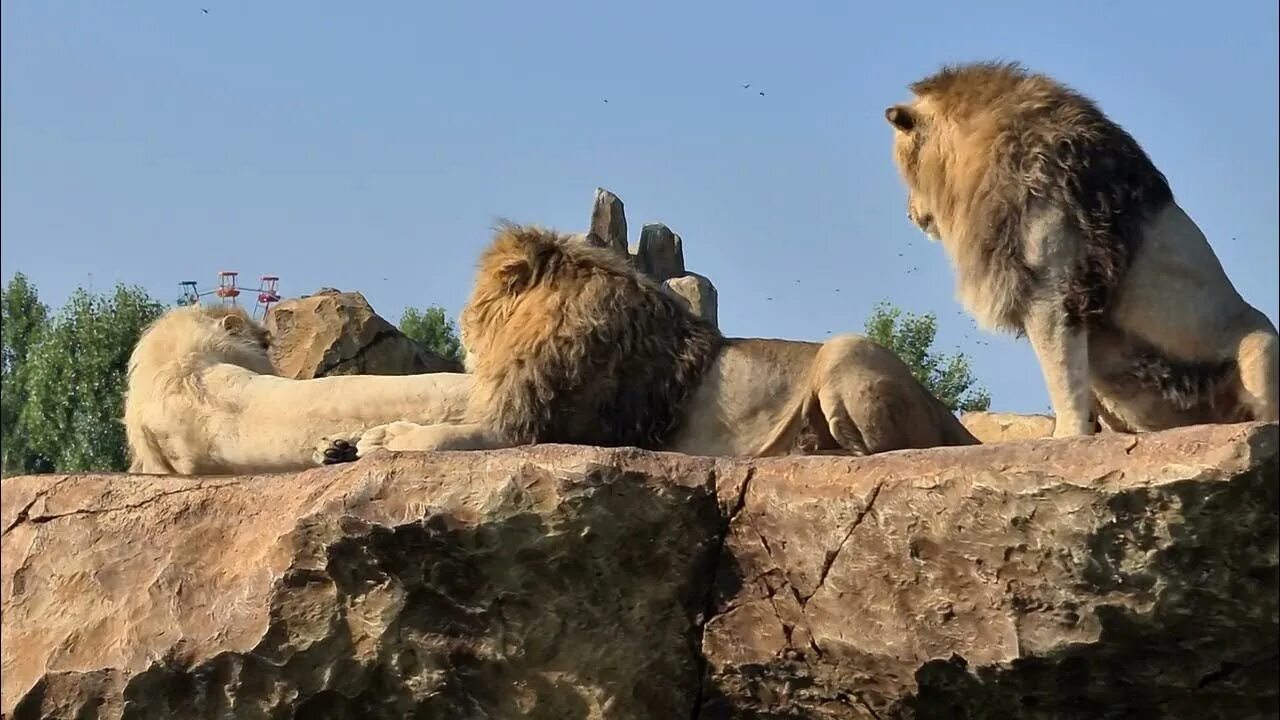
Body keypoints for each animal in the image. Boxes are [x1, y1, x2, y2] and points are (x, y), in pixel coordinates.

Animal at [335, 224, 972, 456]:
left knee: (887, 450)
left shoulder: (542, 429)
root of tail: (952, 417)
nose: (463, 326)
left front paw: (385, 439)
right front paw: (344, 442)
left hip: (847, 347)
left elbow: (446, 435)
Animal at [885, 58, 1274, 435]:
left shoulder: (1053, 290)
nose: (908, 213)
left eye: (905, 171)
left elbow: (1062, 375)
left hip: (1263, 344)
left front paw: (1066, 437)